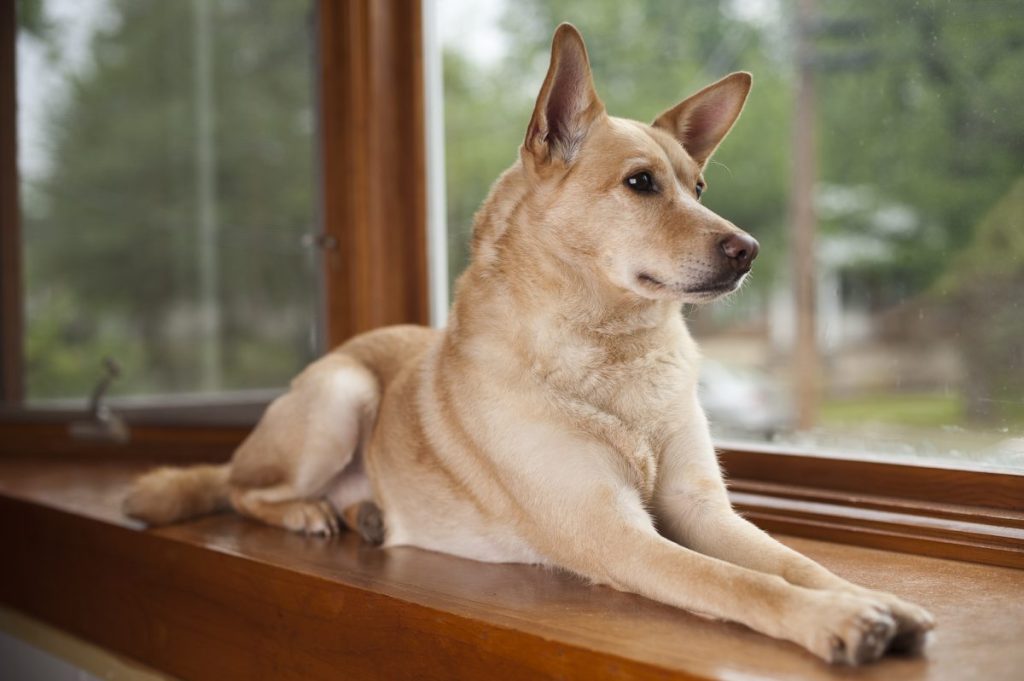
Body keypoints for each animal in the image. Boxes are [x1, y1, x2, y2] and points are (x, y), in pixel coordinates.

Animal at [121, 22, 937, 663]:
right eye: (642, 184)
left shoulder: (703, 510)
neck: (611, 350)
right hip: (338, 394)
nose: (751, 251)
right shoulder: (615, 534)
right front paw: (834, 619)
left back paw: (367, 514)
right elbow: (738, 581)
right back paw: (305, 512)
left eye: (699, 187)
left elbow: (792, 560)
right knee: (239, 488)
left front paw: (870, 597)